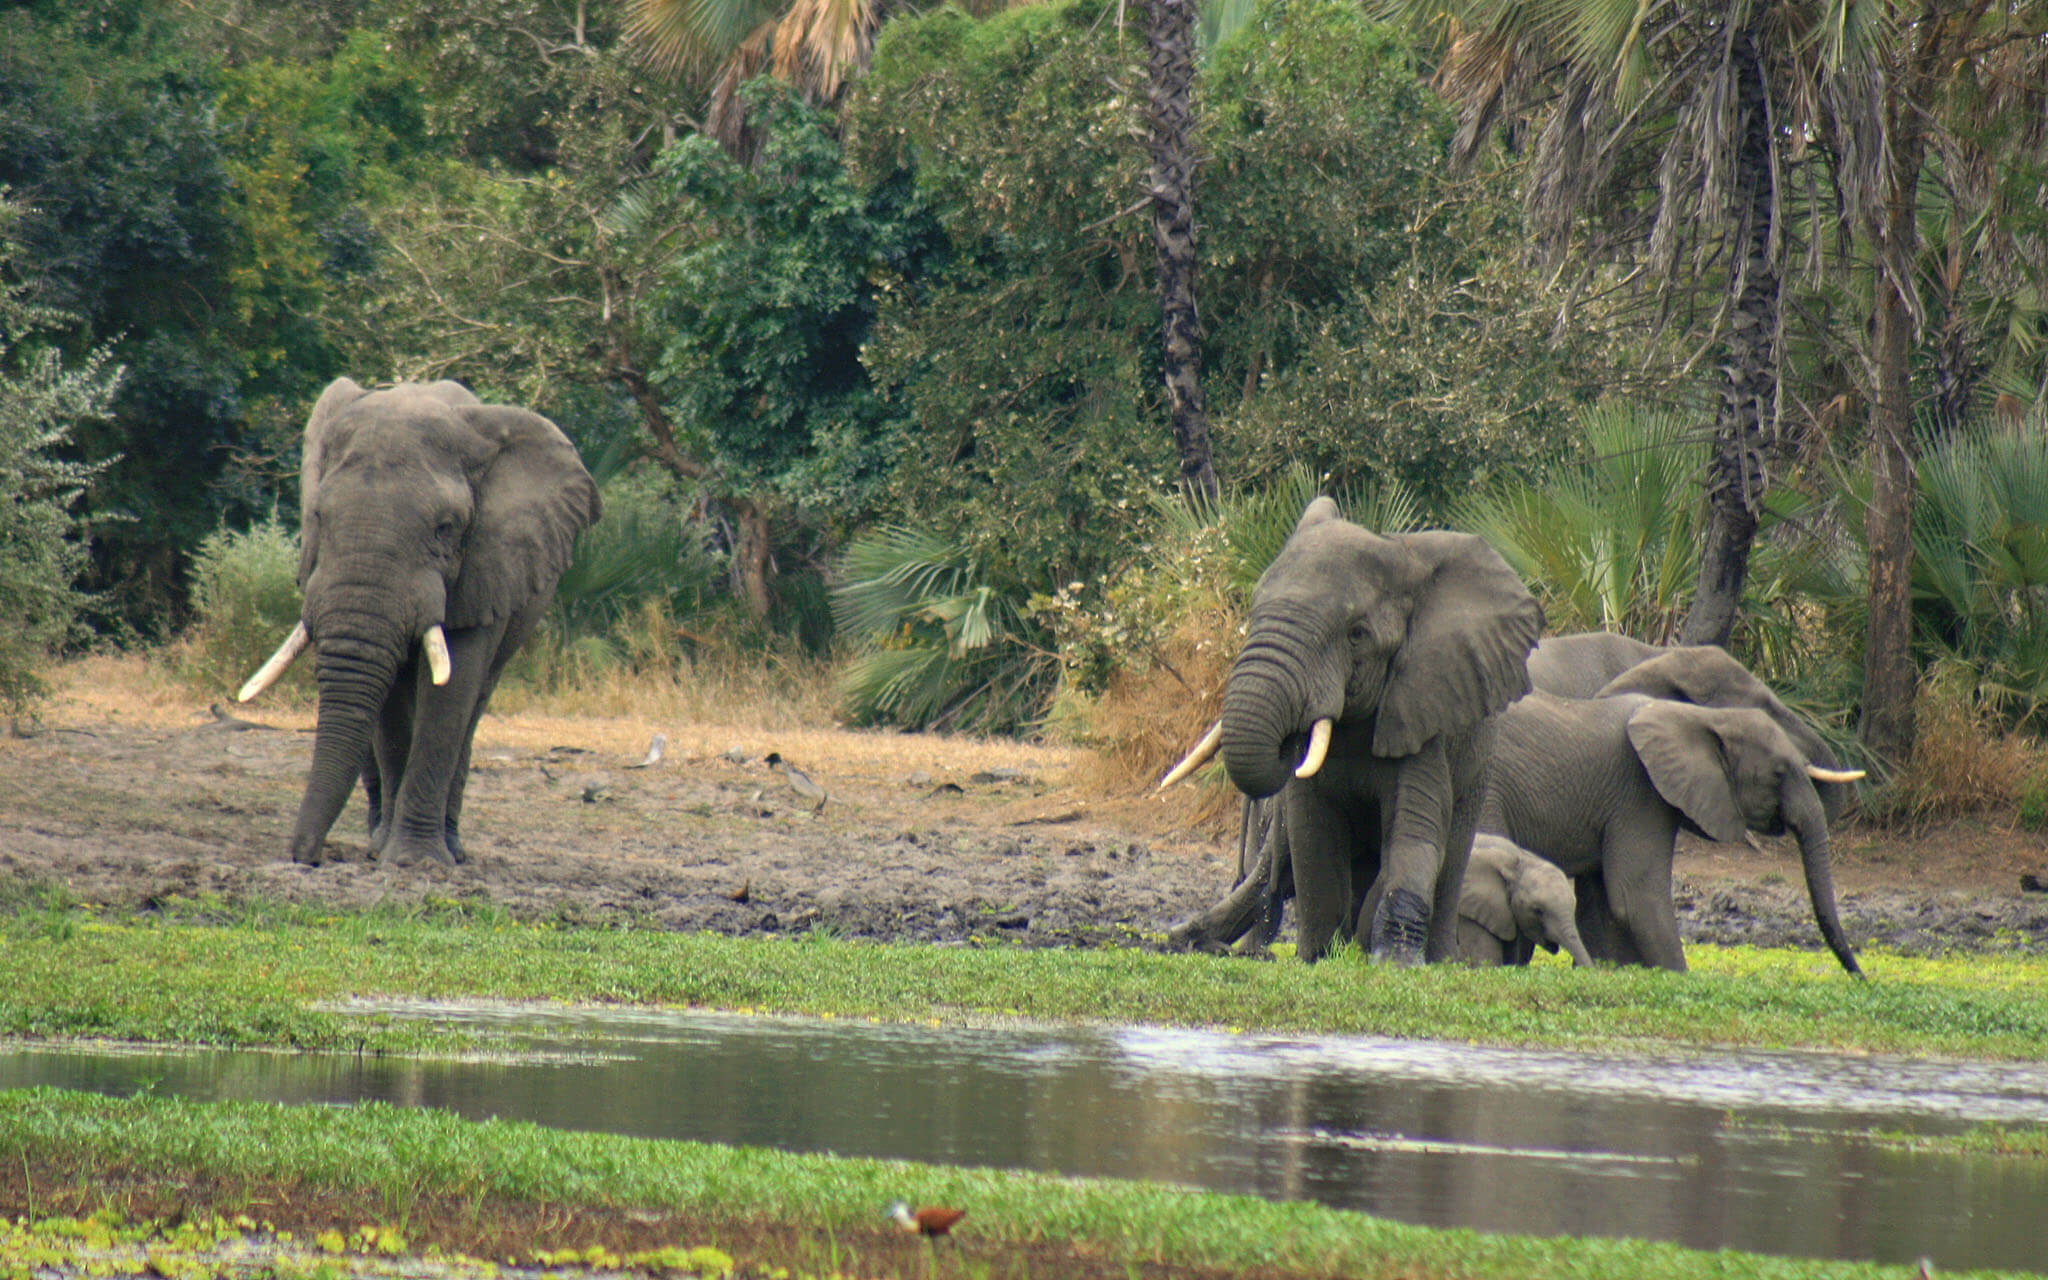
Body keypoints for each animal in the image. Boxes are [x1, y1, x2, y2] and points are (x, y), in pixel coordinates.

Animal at [236, 374, 598, 864]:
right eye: (318, 516)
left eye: (445, 528)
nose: (305, 856)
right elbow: (389, 709)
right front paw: (387, 854)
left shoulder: (486, 563)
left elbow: (451, 692)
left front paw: (415, 861)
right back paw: (377, 838)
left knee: (473, 709)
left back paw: (451, 848)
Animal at [1155, 497, 1540, 958]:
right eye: (1253, 609)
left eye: (1357, 634)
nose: (1290, 737)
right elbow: (1312, 835)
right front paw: (1319, 959)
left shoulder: (1421, 715)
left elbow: (1414, 830)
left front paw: (1395, 962)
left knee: (1449, 854)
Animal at [1482, 692, 1867, 974]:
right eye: (1778, 773)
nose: (1859, 977)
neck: (1701, 716)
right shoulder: (1639, 791)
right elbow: (1636, 897)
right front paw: (1677, 977)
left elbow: (1602, 905)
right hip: (1490, 792)